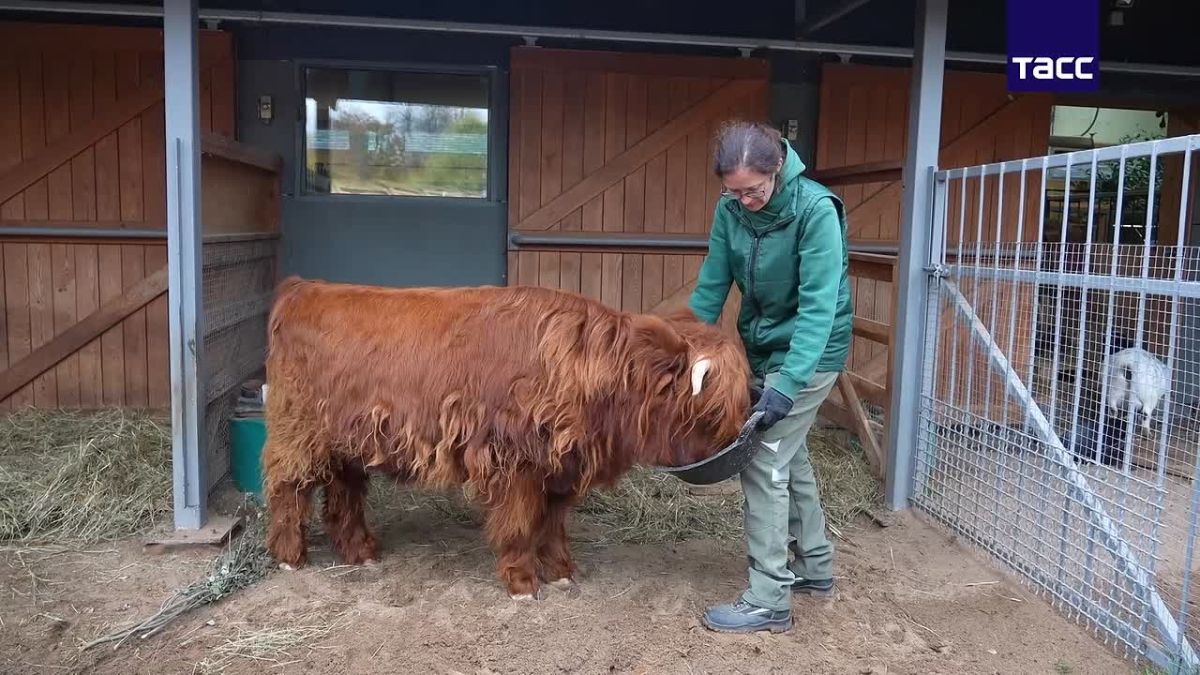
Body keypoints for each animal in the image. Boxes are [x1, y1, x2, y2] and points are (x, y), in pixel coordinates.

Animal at [261, 276, 752, 599]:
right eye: (715, 409)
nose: (737, 439)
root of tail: (305, 287)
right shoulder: (516, 465)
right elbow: (520, 524)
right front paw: (522, 582)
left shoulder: (561, 469)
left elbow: (552, 524)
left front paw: (561, 570)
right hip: (298, 433)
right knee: (288, 488)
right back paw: (290, 556)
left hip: (347, 442)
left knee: (344, 494)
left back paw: (360, 551)